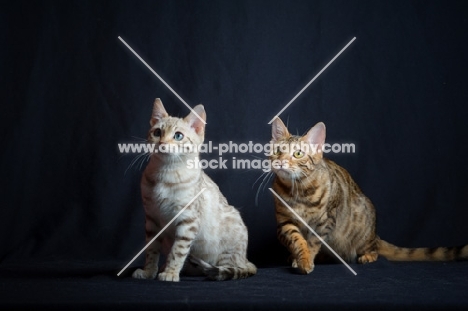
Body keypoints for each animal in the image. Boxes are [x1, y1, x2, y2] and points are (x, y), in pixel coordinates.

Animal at [268, 117, 466, 276]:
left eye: (298, 153)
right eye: (277, 151)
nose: (281, 161)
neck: (297, 192)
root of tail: (374, 234)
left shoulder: (325, 221)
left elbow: (312, 243)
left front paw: (306, 260)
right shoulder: (285, 223)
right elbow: (297, 241)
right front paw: (300, 257)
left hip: (362, 224)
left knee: (374, 249)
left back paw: (367, 255)